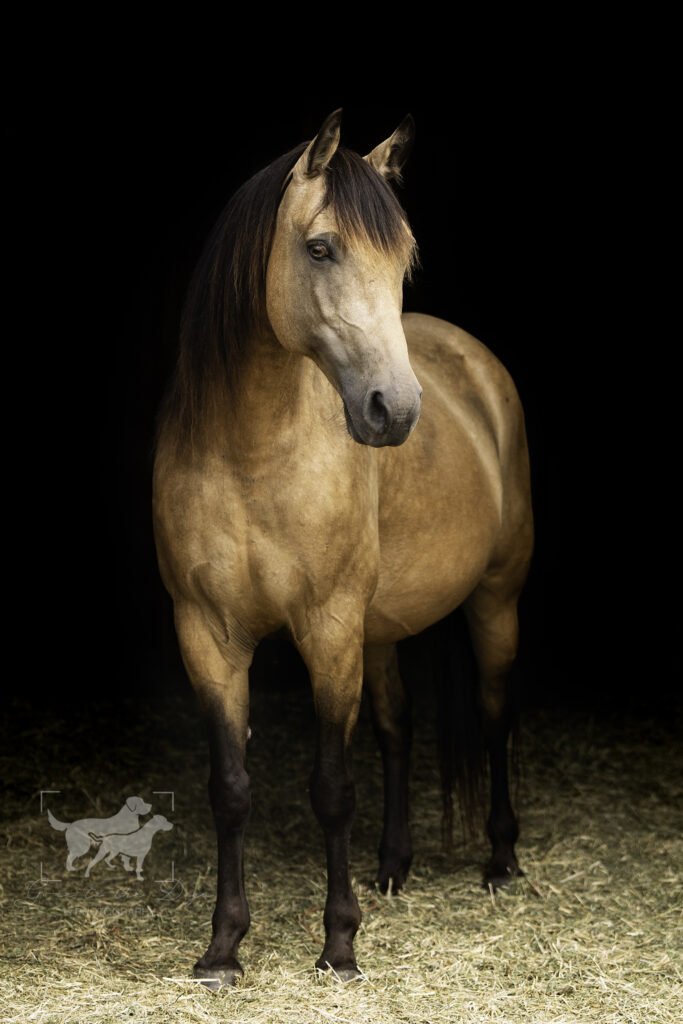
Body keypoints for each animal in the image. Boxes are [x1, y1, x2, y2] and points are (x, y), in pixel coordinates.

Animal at [153, 109, 533, 988]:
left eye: (403, 259)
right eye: (320, 247)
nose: (394, 411)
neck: (250, 454)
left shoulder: (326, 631)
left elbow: (331, 787)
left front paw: (338, 944)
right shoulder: (206, 635)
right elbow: (230, 787)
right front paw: (222, 948)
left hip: (494, 597)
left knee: (493, 712)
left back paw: (500, 863)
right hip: (381, 629)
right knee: (395, 727)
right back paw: (393, 865)